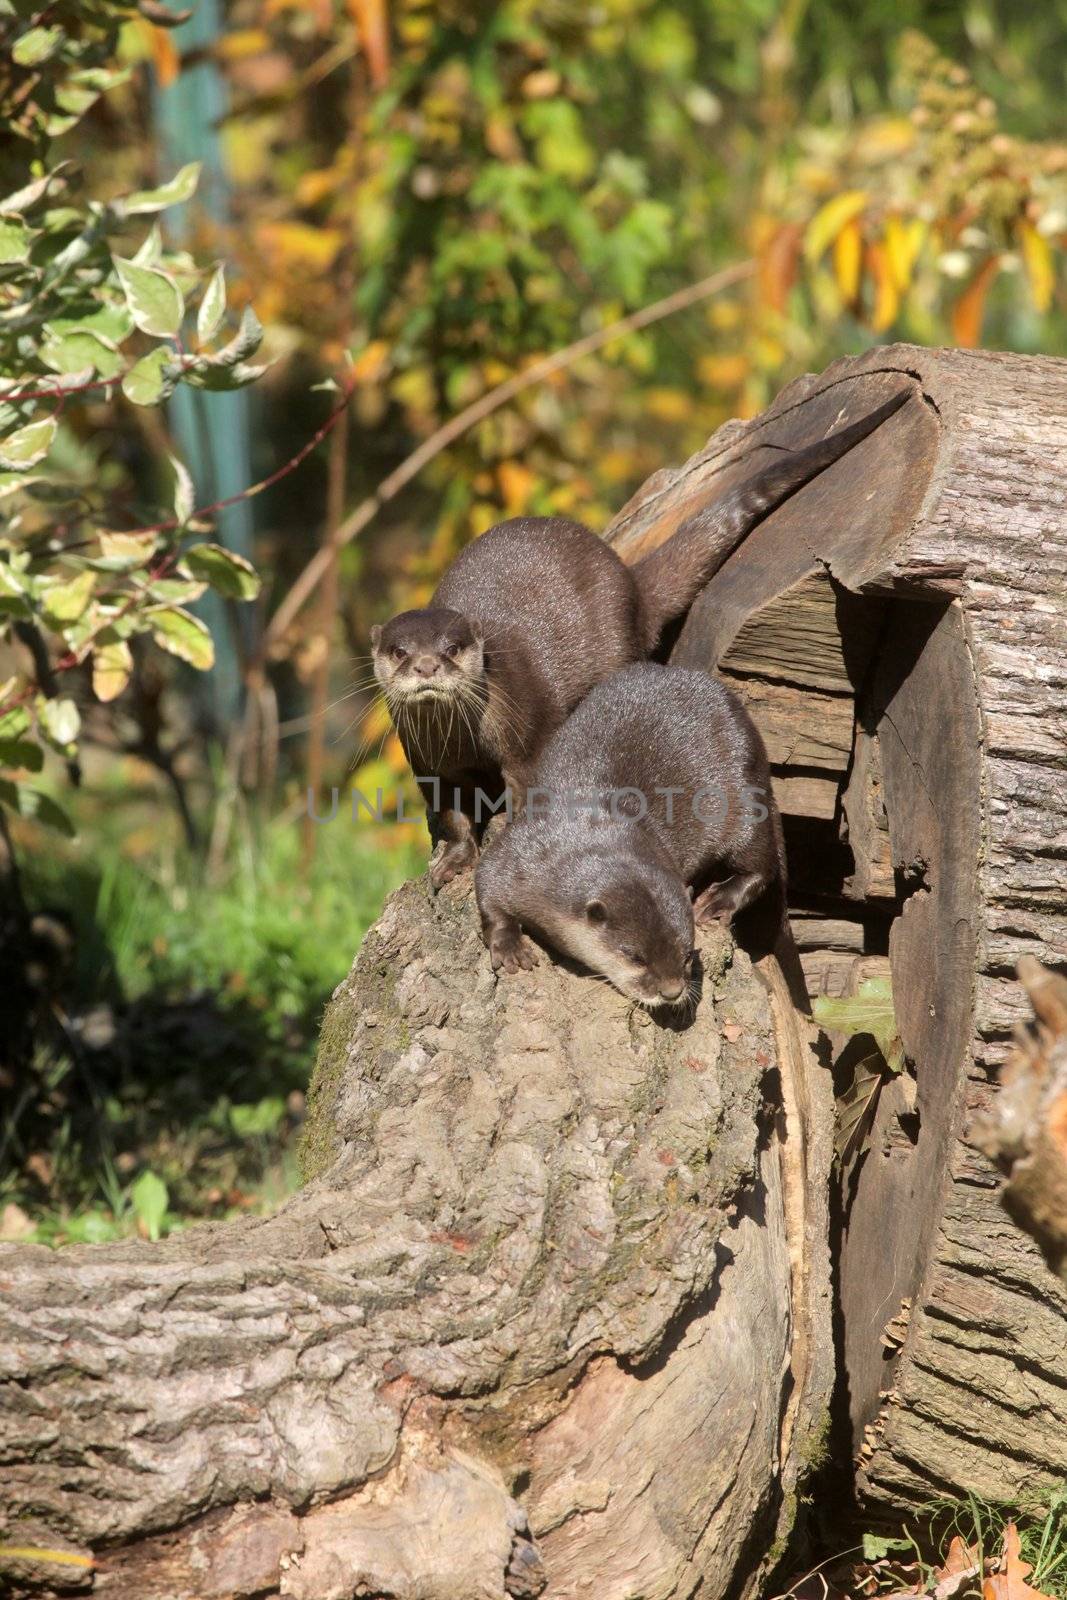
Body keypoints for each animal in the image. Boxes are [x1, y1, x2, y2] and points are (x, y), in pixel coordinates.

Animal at [371, 387, 908, 889]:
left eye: (452, 648)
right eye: (399, 651)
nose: (426, 665)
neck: (461, 741)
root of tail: (628, 582)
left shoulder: (525, 732)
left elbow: (526, 787)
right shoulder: (428, 764)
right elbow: (452, 815)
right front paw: (452, 861)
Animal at [476, 662, 783, 1011]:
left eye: (687, 955)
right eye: (635, 957)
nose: (671, 992)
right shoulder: (521, 854)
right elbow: (487, 883)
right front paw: (510, 946)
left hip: (745, 794)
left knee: (761, 862)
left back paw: (718, 898)